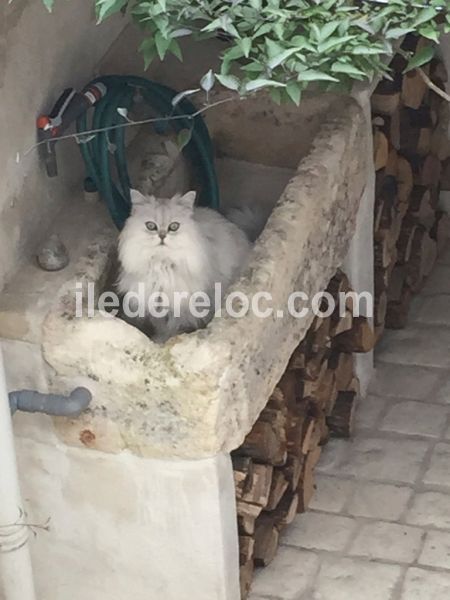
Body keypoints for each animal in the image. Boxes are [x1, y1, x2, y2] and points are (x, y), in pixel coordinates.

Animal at [116, 190, 251, 340]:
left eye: (174, 227)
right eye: (150, 226)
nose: (162, 236)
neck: (162, 264)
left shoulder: (181, 305)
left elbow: (174, 326)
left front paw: (167, 338)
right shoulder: (154, 304)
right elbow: (161, 325)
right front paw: (160, 338)